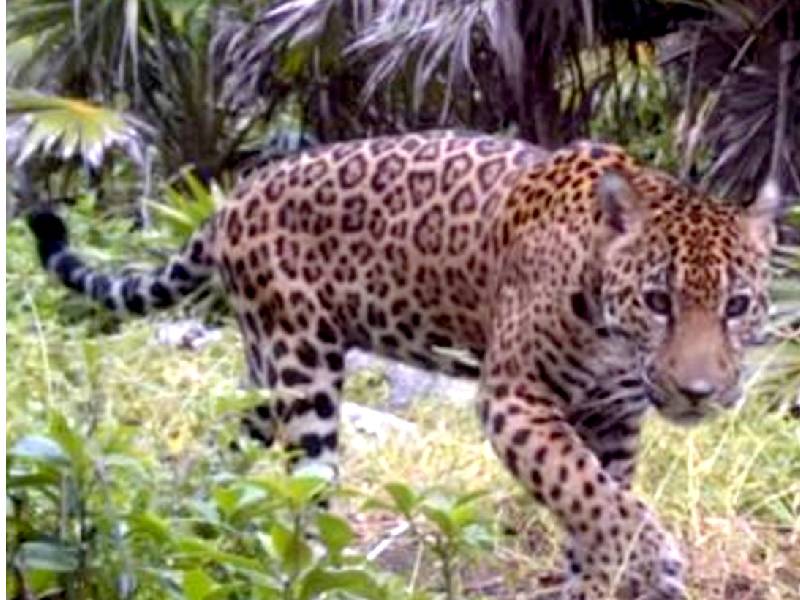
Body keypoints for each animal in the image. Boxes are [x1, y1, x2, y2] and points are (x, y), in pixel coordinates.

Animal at [27, 130, 779, 599]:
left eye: (737, 305)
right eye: (658, 300)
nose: (699, 392)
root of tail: (234, 199)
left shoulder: (615, 421)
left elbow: (597, 505)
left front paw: (601, 581)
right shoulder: (514, 398)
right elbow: (586, 491)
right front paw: (655, 563)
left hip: (264, 374)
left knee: (228, 449)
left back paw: (207, 525)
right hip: (302, 371)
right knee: (304, 489)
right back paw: (312, 569)